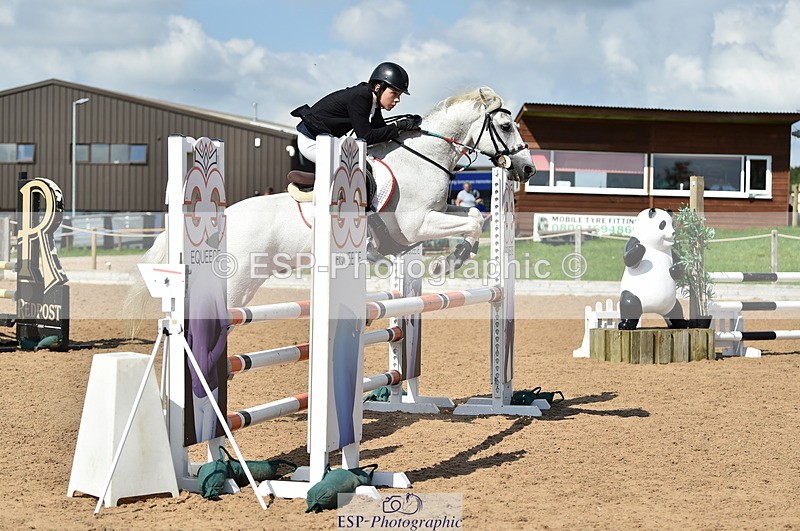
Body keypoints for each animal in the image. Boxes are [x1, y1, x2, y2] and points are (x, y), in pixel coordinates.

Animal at [125, 87, 534, 314]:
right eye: (505, 126)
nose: (527, 168)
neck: (422, 157)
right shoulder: (416, 224)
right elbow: (472, 220)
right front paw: (448, 263)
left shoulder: (434, 214)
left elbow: (473, 212)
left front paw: (453, 258)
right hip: (236, 280)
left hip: (251, 278)